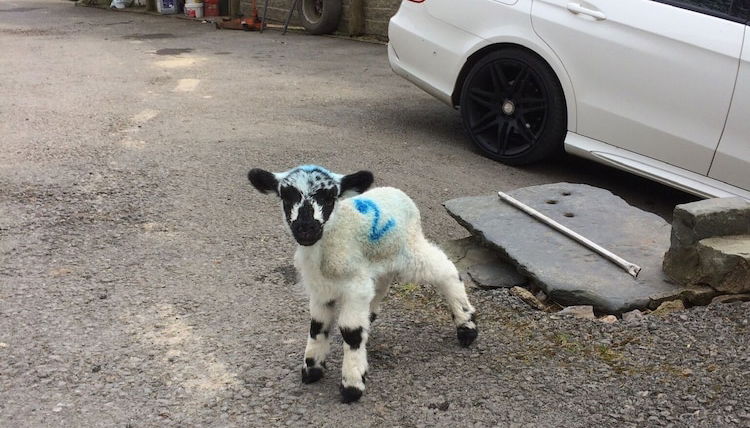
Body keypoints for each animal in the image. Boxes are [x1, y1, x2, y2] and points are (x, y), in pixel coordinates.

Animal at [250, 164, 478, 402]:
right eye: (286, 196)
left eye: (330, 197)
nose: (306, 228)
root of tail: (399, 193)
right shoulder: (321, 289)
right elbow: (317, 326)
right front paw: (312, 369)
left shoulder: (354, 286)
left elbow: (350, 332)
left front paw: (352, 385)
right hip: (380, 260)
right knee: (381, 287)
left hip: (410, 248)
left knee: (446, 270)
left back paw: (467, 327)